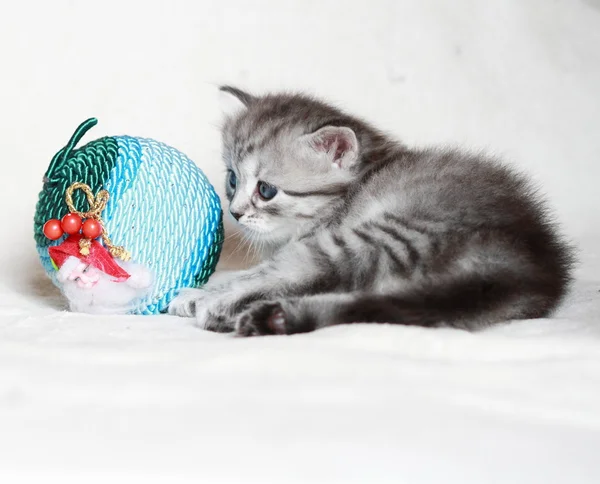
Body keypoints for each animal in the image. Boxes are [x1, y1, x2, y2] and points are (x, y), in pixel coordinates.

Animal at [166, 86, 576, 336]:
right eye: (232, 179)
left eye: (266, 190)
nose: (235, 213)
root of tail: (524, 263)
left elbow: (258, 270)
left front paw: (201, 292)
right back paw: (276, 317)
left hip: (376, 235)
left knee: (304, 273)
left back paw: (218, 304)